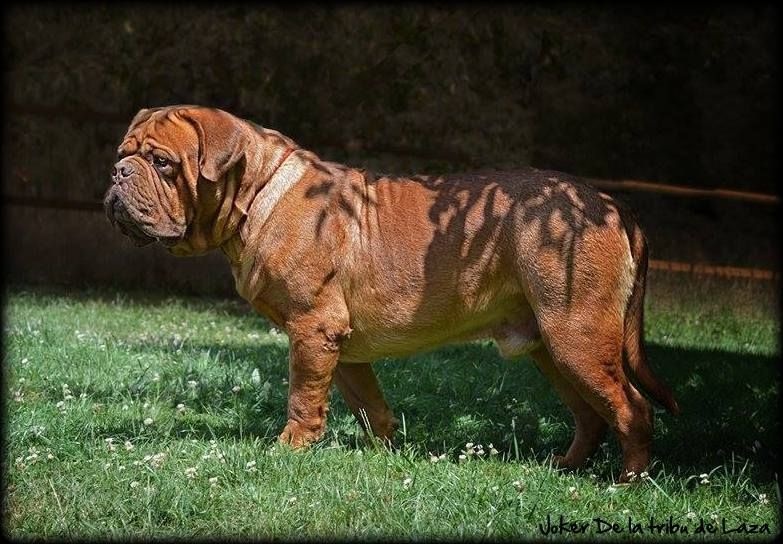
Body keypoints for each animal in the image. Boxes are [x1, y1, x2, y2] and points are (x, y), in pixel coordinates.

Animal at [105, 105, 679, 481]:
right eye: (123, 155)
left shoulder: (312, 328)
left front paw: (290, 449)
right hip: (554, 348)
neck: (258, 190)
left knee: (632, 409)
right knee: (590, 414)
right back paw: (566, 467)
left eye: (162, 164)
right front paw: (383, 450)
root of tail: (610, 203)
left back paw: (628, 481)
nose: (117, 173)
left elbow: (303, 397)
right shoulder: (339, 345)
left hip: (578, 336)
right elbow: (368, 403)